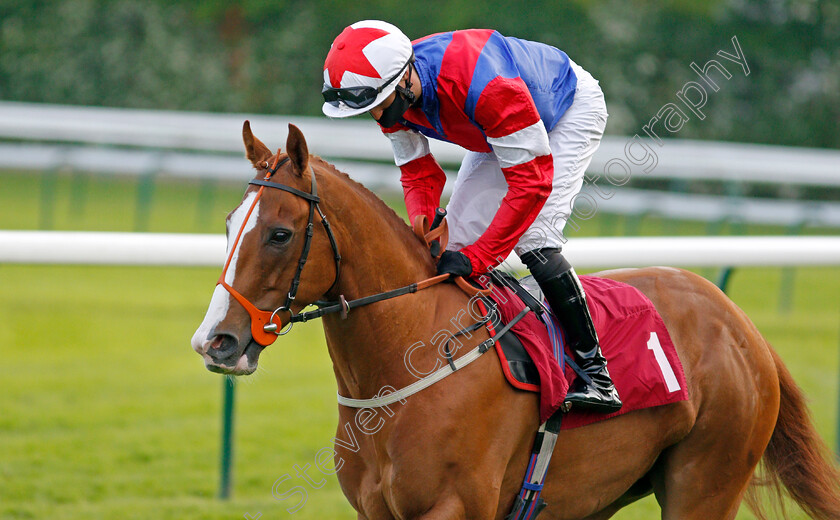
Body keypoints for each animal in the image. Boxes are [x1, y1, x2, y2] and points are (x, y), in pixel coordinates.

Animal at [190, 123, 840, 520]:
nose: (215, 341)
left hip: (704, 484)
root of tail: (739, 323)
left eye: (279, 233)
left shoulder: (456, 507)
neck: (406, 363)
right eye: (228, 223)